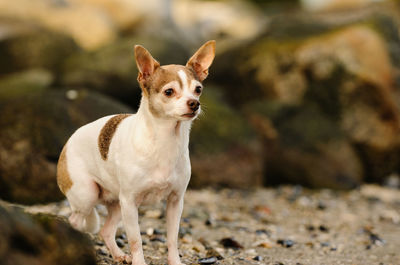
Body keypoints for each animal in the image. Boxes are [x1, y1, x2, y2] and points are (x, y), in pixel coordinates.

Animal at [56, 40, 216, 262]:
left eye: (198, 89)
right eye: (169, 92)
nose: (194, 103)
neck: (165, 141)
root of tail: (67, 142)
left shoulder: (175, 202)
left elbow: (172, 238)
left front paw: (175, 262)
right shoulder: (130, 203)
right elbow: (136, 240)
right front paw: (140, 262)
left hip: (116, 203)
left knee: (106, 230)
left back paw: (118, 255)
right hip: (87, 195)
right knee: (75, 221)